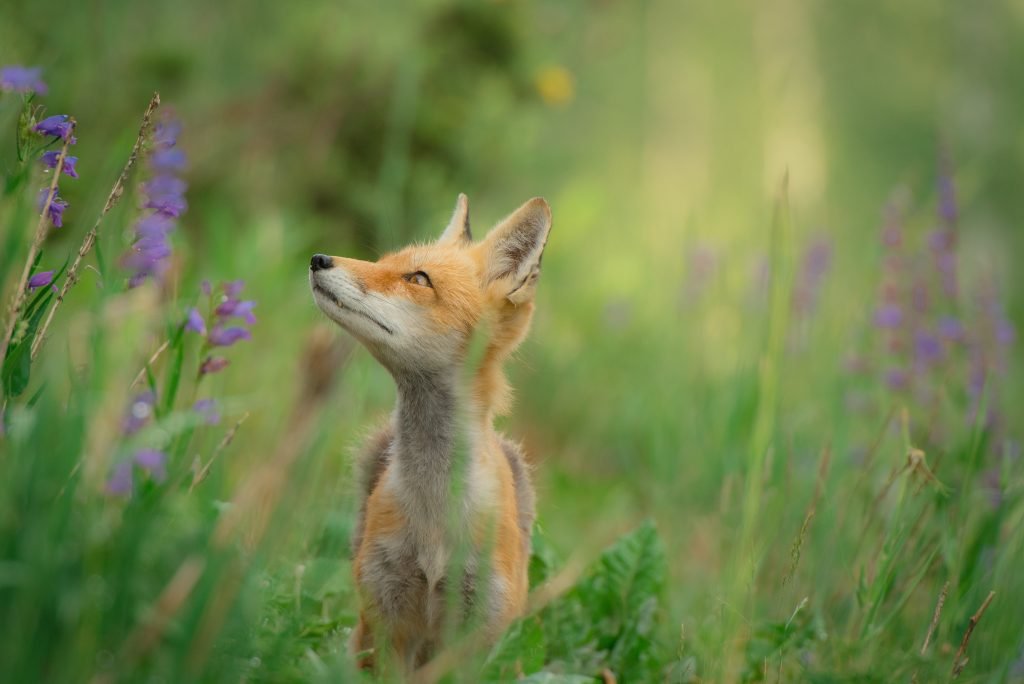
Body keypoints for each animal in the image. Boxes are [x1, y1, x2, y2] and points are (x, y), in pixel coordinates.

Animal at [308, 194, 552, 673]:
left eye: (418, 279)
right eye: (382, 261)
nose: (318, 259)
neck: (435, 516)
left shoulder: (477, 633)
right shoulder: (386, 619)